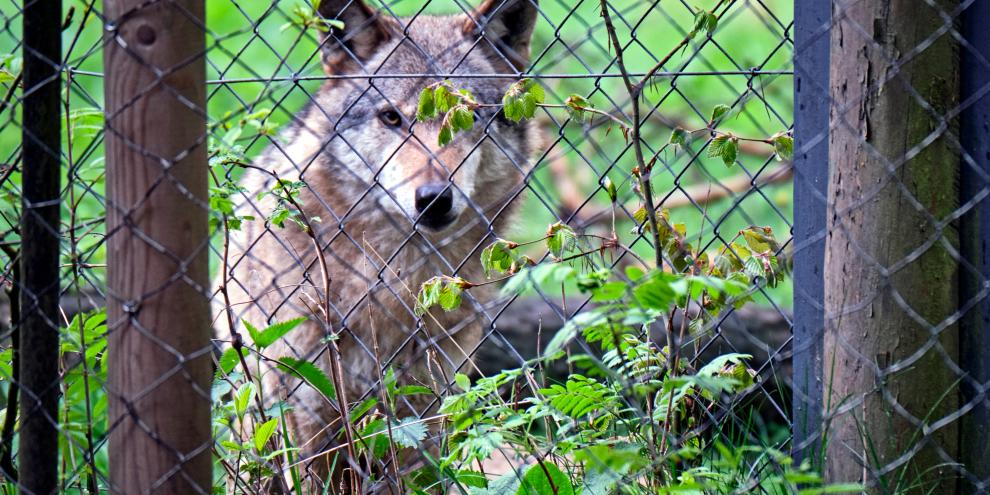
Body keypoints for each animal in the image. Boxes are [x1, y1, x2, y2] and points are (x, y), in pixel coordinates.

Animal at [217, 0, 540, 488]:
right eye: (392, 118)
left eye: (469, 116)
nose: (434, 199)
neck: (392, 280)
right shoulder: (307, 407)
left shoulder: (423, 408)